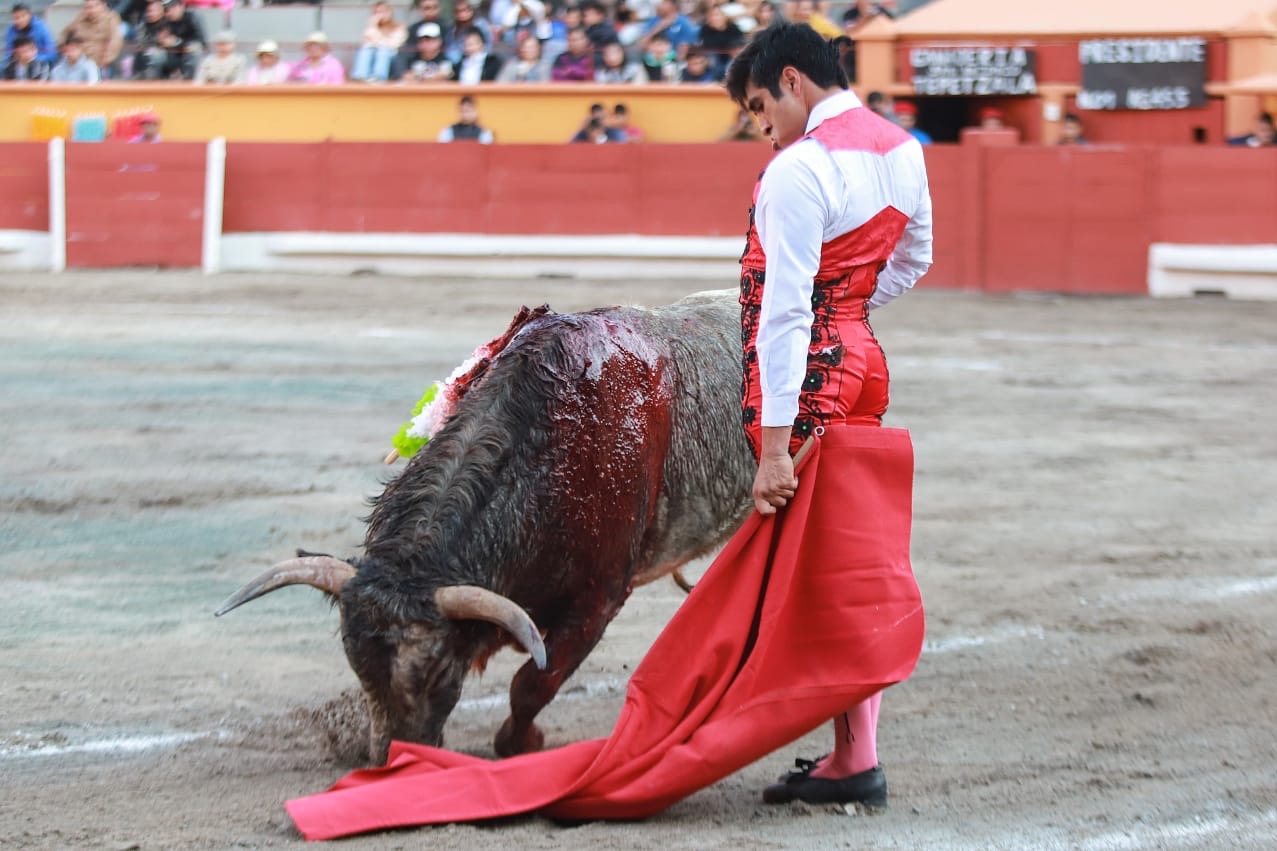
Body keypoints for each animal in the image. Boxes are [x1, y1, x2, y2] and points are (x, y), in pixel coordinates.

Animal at [218, 288, 750, 756]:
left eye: (438, 673)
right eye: (357, 665)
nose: (391, 758)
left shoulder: (599, 599)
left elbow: (532, 683)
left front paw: (520, 744)